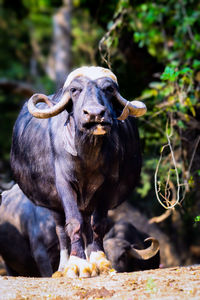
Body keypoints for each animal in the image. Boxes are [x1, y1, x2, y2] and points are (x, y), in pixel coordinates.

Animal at [10, 67, 146, 278]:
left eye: (109, 89)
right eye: (75, 90)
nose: (95, 113)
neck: (87, 155)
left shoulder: (108, 186)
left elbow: (98, 224)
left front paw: (100, 261)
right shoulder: (64, 184)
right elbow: (73, 223)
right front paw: (77, 264)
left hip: (87, 202)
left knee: (87, 225)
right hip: (54, 205)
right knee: (61, 230)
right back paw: (62, 268)